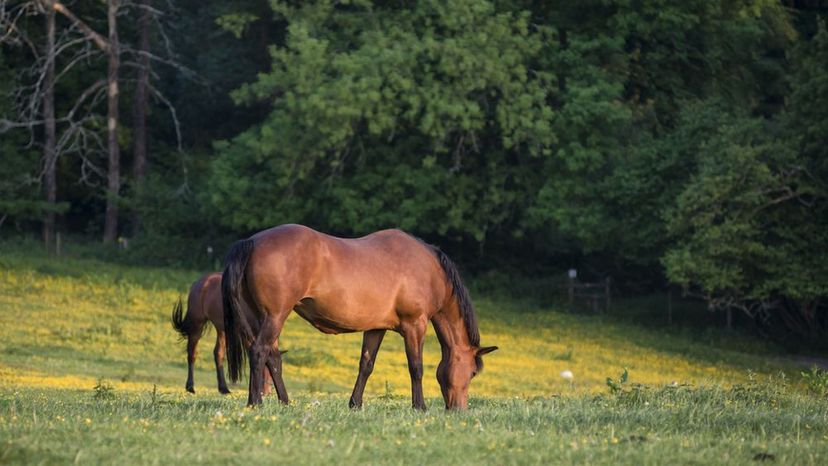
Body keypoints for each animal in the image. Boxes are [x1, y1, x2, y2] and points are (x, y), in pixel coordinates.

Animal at [222, 224, 498, 410]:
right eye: (473, 373)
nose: (459, 410)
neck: (429, 271)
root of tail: (252, 242)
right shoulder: (415, 325)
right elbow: (416, 367)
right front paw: (419, 406)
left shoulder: (376, 328)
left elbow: (366, 365)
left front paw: (355, 403)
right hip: (275, 316)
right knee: (259, 352)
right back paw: (255, 402)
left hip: (260, 318)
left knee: (273, 358)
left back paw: (285, 402)